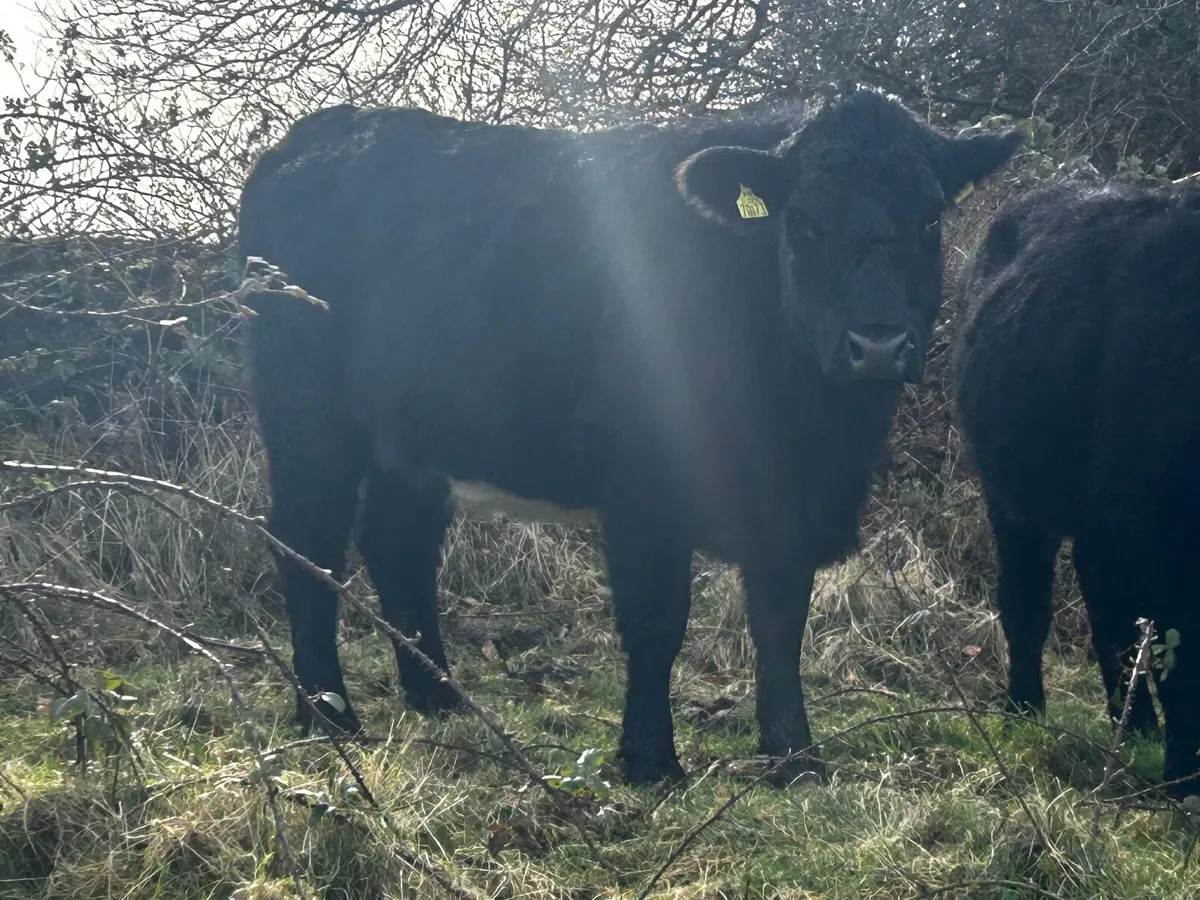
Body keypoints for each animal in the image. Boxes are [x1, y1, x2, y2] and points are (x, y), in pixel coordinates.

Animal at [237, 87, 1022, 786]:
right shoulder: (644, 486)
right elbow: (656, 621)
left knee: (396, 544)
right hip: (308, 414)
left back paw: (436, 697)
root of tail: (317, 134)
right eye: (802, 222)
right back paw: (329, 715)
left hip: (413, 434)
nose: (878, 344)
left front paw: (795, 758)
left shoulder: (787, 504)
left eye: (929, 221)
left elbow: (779, 621)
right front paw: (650, 760)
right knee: (308, 543)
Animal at [953, 174, 1200, 797]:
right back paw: (1023, 708)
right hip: (1015, 502)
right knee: (1028, 601)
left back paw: (1132, 724)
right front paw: (1182, 781)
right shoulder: (1146, 534)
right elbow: (1180, 660)